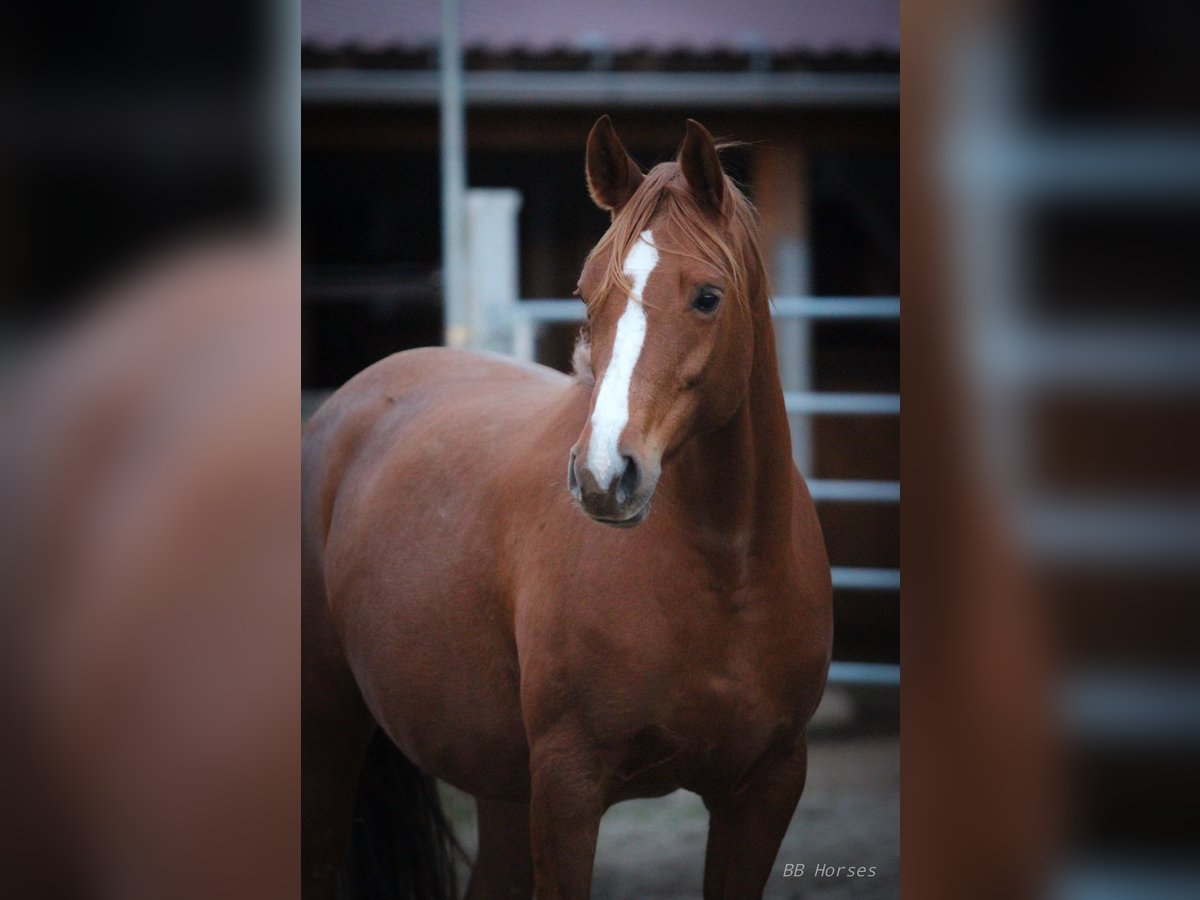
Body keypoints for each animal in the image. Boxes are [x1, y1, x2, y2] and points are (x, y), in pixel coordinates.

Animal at [304, 120, 835, 900]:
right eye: (585, 295)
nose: (603, 475)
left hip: (499, 783)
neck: (726, 574)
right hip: (329, 735)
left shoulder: (766, 789)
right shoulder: (568, 790)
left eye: (708, 297)